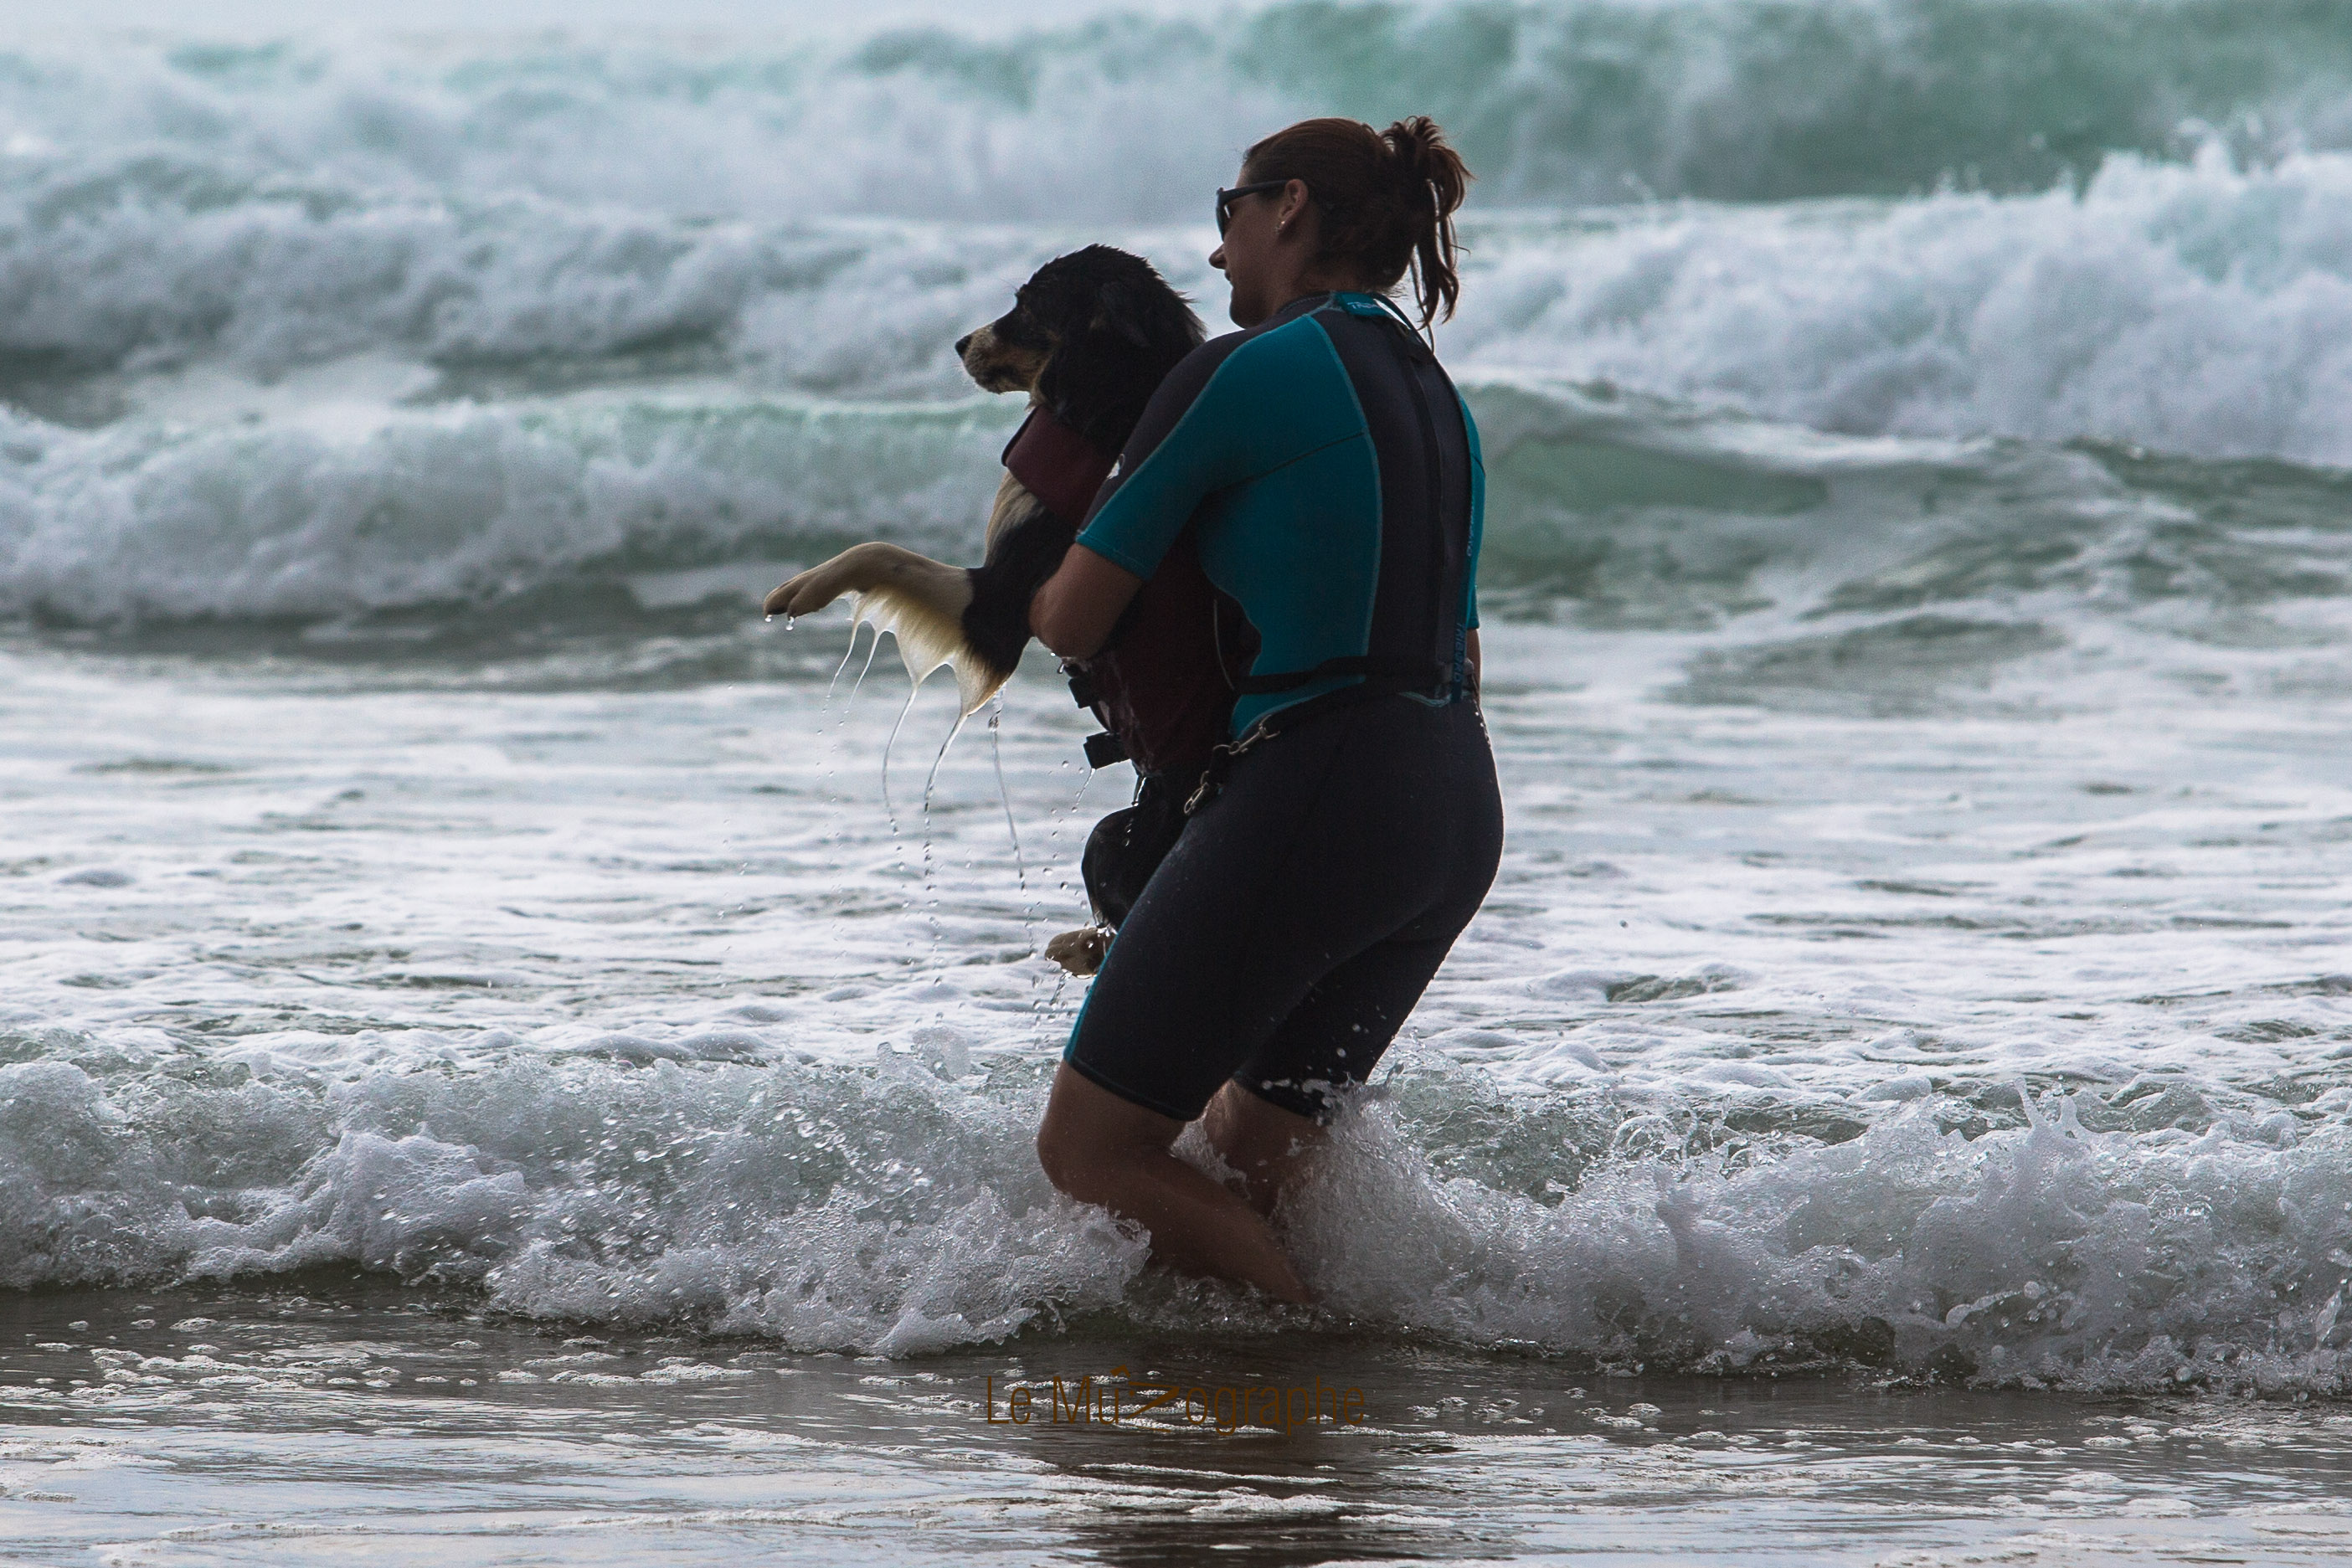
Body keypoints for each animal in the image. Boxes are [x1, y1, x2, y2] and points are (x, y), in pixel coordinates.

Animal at [762, 246, 1204, 715]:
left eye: (1026, 308)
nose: (960, 344)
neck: (1105, 406)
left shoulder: (1004, 605)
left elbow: (885, 551)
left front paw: (807, 586)